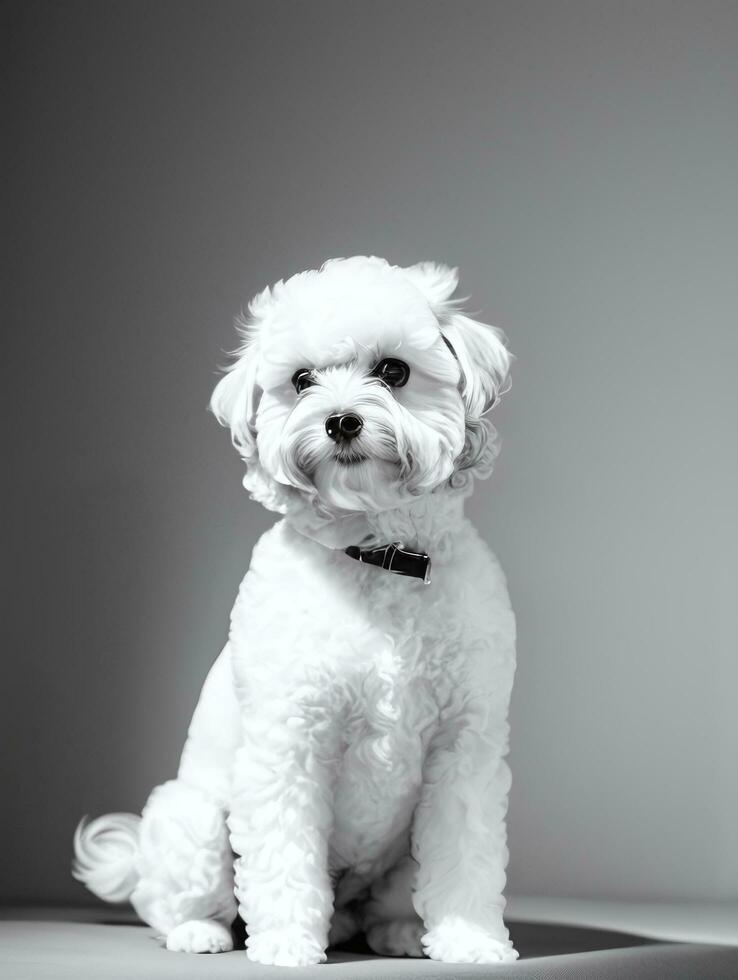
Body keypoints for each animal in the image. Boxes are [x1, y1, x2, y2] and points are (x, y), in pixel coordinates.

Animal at [72, 256, 516, 968]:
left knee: (385, 902)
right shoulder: (289, 742)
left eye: (394, 371)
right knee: (175, 900)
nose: (339, 420)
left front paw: (470, 939)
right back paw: (201, 931)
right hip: (191, 818)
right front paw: (284, 942)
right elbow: (282, 855)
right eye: (302, 380)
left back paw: (399, 933)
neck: (375, 555)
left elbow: (467, 858)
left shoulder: (464, 750)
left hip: (395, 859)